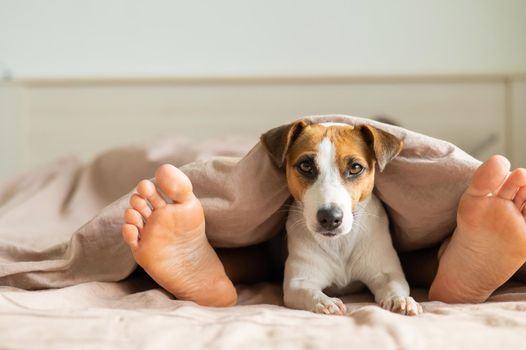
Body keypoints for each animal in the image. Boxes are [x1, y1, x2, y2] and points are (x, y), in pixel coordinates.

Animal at [262, 119, 422, 316]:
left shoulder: (387, 274)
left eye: (355, 167)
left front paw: (401, 300)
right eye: (305, 166)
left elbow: (395, 286)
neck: (339, 244)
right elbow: (308, 292)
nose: (330, 218)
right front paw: (326, 302)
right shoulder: (299, 282)